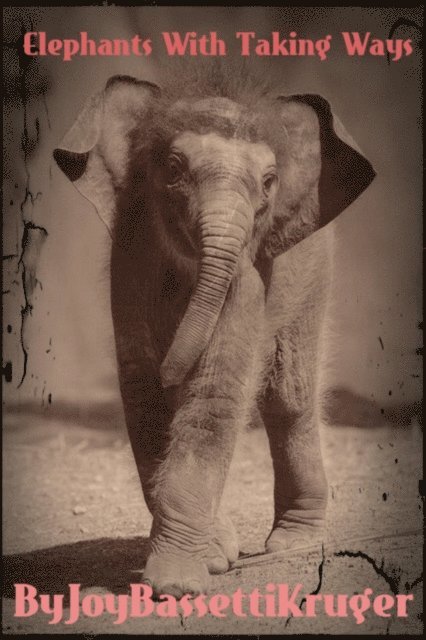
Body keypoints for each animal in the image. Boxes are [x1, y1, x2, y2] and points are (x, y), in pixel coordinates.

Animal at [53, 66, 375, 598]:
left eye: (269, 182)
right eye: (174, 167)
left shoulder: (247, 275)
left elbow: (215, 391)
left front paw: (176, 586)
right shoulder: (131, 260)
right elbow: (143, 395)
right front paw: (212, 555)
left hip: (315, 272)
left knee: (289, 397)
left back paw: (293, 544)